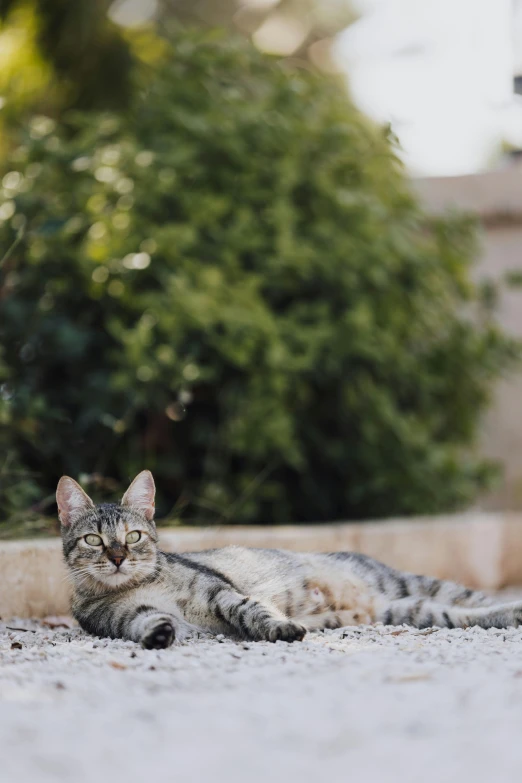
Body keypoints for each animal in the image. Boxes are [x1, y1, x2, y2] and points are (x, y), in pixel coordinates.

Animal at [57, 472, 520, 648]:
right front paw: (159, 634)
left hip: (412, 585)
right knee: (462, 616)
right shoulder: (120, 621)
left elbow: (251, 611)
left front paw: (281, 628)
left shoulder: (219, 593)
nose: (118, 557)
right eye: (95, 540)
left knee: (476, 600)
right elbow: (146, 623)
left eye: (133, 536)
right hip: (410, 610)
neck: (141, 584)